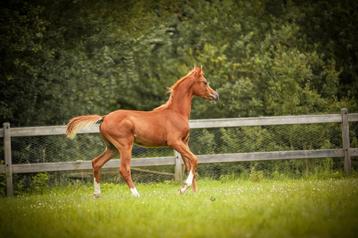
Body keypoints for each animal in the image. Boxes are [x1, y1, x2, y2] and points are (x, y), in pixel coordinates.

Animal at [65, 67, 220, 197]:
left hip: (112, 148)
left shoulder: (184, 142)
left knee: (96, 163)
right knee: (124, 169)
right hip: (125, 146)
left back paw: (97, 194)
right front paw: (183, 189)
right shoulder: (175, 142)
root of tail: (104, 118)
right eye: (205, 82)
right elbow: (194, 159)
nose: (216, 95)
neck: (176, 112)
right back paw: (136, 194)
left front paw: (192, 192)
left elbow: (189, 164)